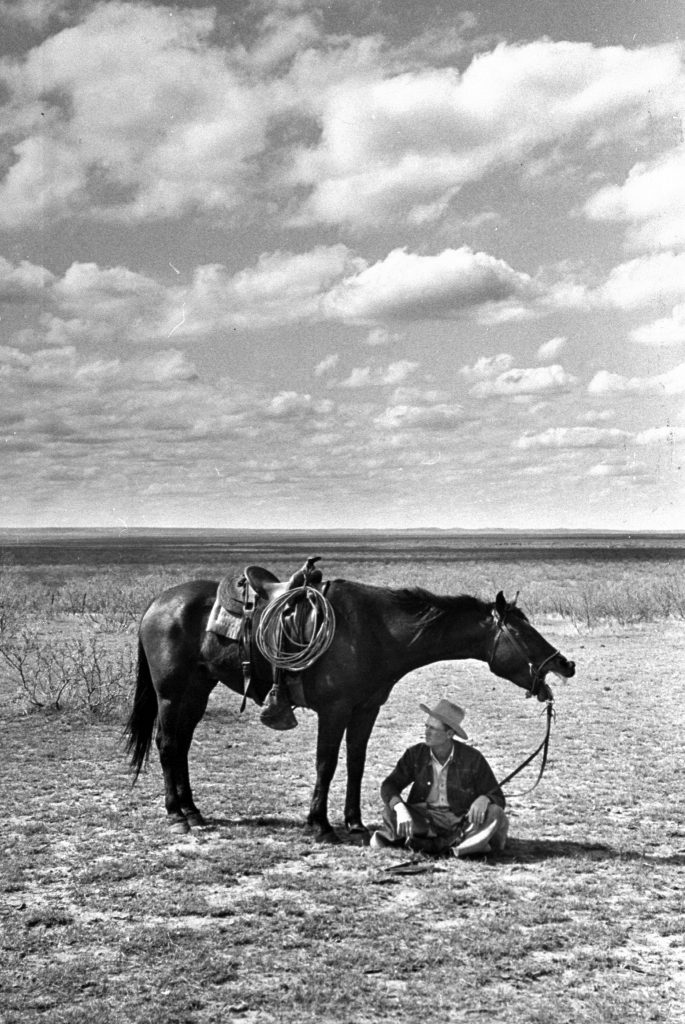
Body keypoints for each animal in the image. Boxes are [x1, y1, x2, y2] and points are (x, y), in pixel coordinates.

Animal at [125, 577, 573, 839]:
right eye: (524, 632)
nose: (564, 664)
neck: (377, 630)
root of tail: (158, 603)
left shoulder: (365, 709)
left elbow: (356, 761)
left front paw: (354, 821)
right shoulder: (335, 710)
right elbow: (326, 763)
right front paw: (320, 825)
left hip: (198, 690)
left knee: (181, 744)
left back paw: (193, 810)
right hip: (172, 693)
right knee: (168, 743)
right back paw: (177, 814)